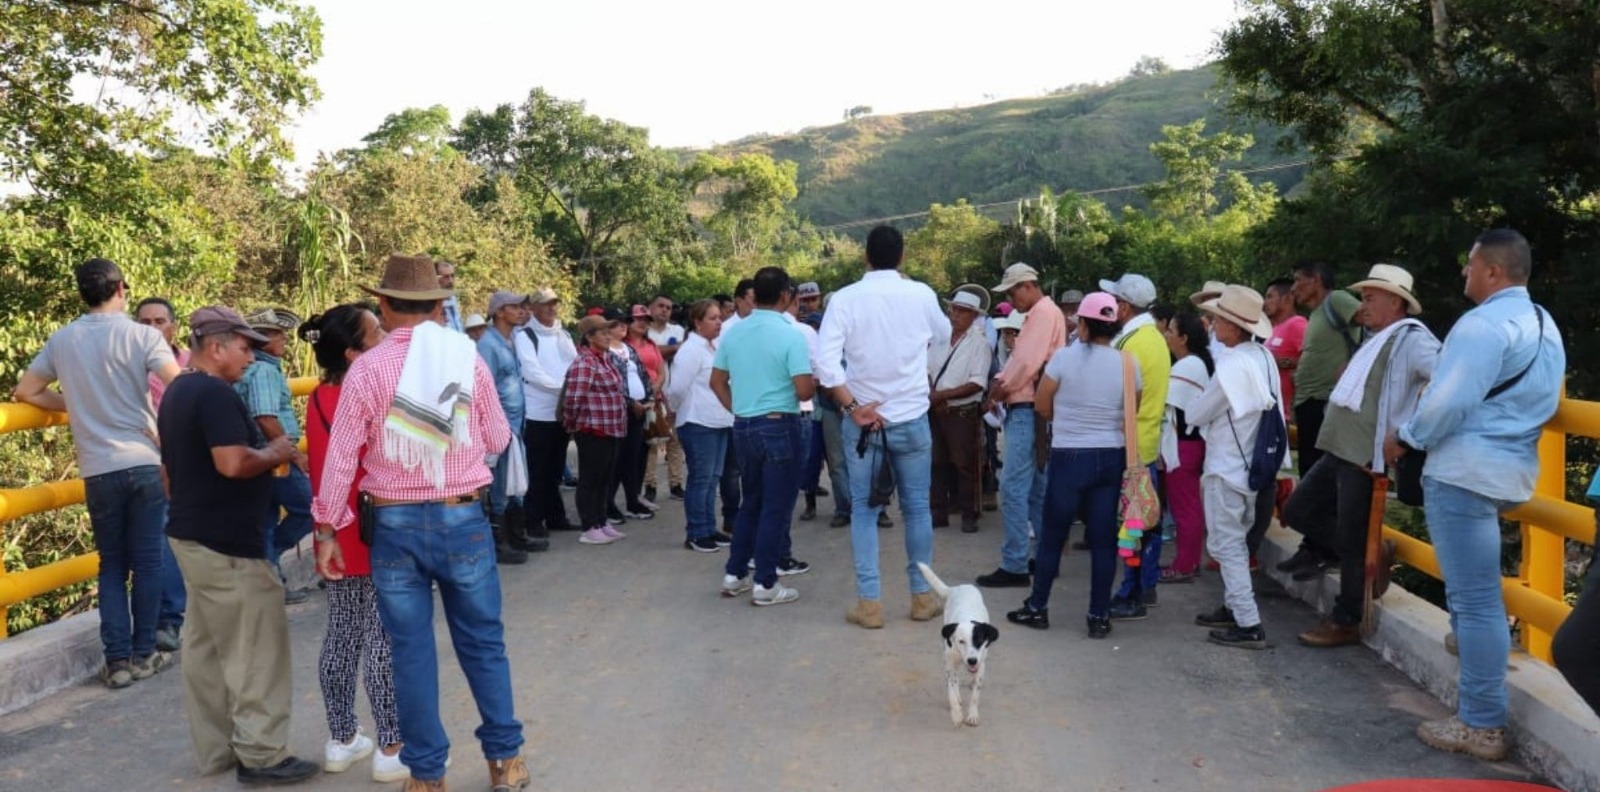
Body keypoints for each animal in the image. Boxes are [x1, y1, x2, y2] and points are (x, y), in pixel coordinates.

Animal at [921, 560, 992, 729]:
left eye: (979, 640)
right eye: (961, 641)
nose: (972, 660)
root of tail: (956, 588)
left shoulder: (981, 665)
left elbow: (975, 694)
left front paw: (972, 715)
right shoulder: (950, 663)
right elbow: (951, 691)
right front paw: (957, 714)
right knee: (953, 680)